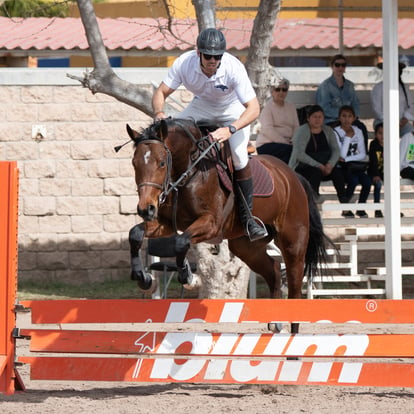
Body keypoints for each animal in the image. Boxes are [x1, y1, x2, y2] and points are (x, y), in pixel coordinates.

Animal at [128, 117, 332, 334]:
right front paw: (142, 277)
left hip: (293, 244)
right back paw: (275, 321)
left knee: (294, 286)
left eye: (161, 163)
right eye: (134, 163)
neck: (188, 173)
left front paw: (187, 276)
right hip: (245, 247)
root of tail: (293, 177)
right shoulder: (167, 224)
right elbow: (135, 234)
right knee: (274, 270)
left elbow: (181, 242)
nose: (146, 209)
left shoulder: (211, 224)